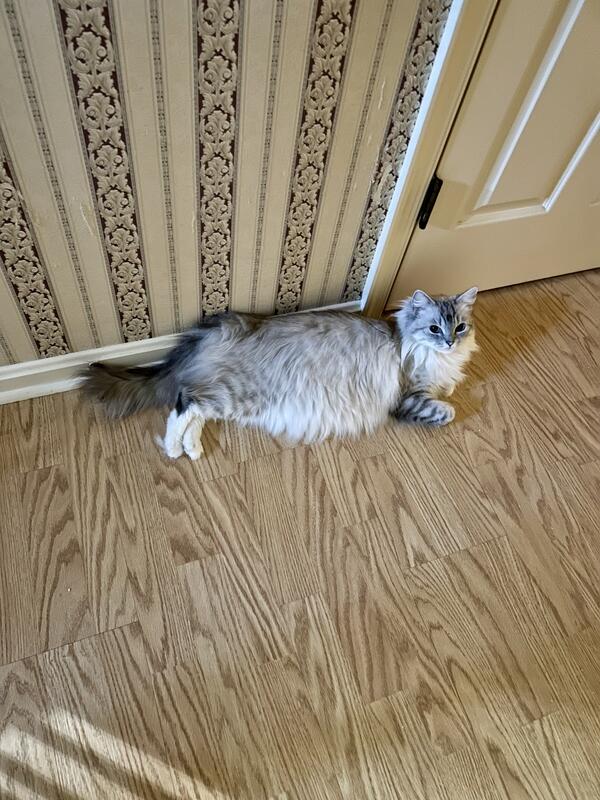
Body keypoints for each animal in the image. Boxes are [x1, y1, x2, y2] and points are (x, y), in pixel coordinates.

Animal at [81, 287, 478, 459]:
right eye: (434, 328)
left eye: (459, 327)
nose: (449, 343)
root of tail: (226, 324)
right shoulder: (407, 395)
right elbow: (442, 408)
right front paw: (447, 408)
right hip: (240, 390)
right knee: (184, 403)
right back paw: (173, 450)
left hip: (229, 392)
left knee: (193, 408)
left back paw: (189, 449)